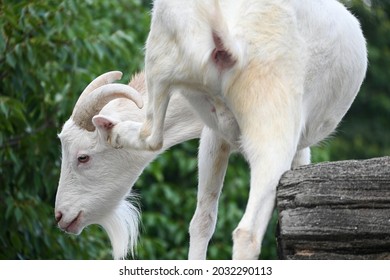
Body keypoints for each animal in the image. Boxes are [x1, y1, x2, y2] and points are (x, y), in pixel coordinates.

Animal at [108, 0, 368, 260]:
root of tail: (231, 41)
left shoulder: (215, 134)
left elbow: (202, 218)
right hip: (272, 116)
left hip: (160, 50)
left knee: (153, 135)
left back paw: (115, 132)